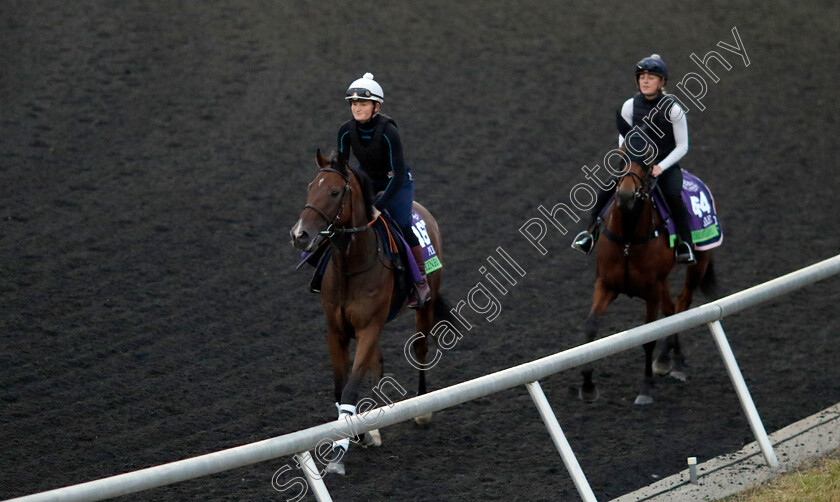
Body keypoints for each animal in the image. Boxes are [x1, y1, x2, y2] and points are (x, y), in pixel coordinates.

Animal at [288, 149, 450, 474]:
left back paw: (422, 408)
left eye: (334, 192)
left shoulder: (368, 328)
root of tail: (421, 209)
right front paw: (361, 434)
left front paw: (339, 451)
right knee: (378, 362)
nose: (300, 234)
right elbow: (341, 388)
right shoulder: (336, 330)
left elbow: (351, 389)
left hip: (424, 304)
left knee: (421, 349)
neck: (351, 266)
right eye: (311, 187)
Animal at [580, 148, 720, 404]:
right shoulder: (605, 285)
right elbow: (591, 329)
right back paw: (668, 360)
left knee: (683, 304)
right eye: (621, 161)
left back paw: (675, 363)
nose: (625, 195)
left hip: (700, 261)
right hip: (663, 280)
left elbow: (648, 338)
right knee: (672, 309)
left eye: (646, 164)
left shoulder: (651, 290)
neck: (628, 241)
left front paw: (645, 389)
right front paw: (587, 386)